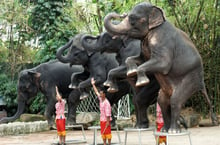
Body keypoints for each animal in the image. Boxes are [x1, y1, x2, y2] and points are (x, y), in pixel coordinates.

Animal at [104, 1, 218, 133]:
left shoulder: (162, 40)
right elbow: (139, 60)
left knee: (175, 100)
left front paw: (141, 81)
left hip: (191, 79)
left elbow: (163, 63)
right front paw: (129, 73)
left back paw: (173, 131)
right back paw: (164, 130)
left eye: (132, 18)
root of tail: (202, 83)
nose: (121, 13)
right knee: (162, 101)